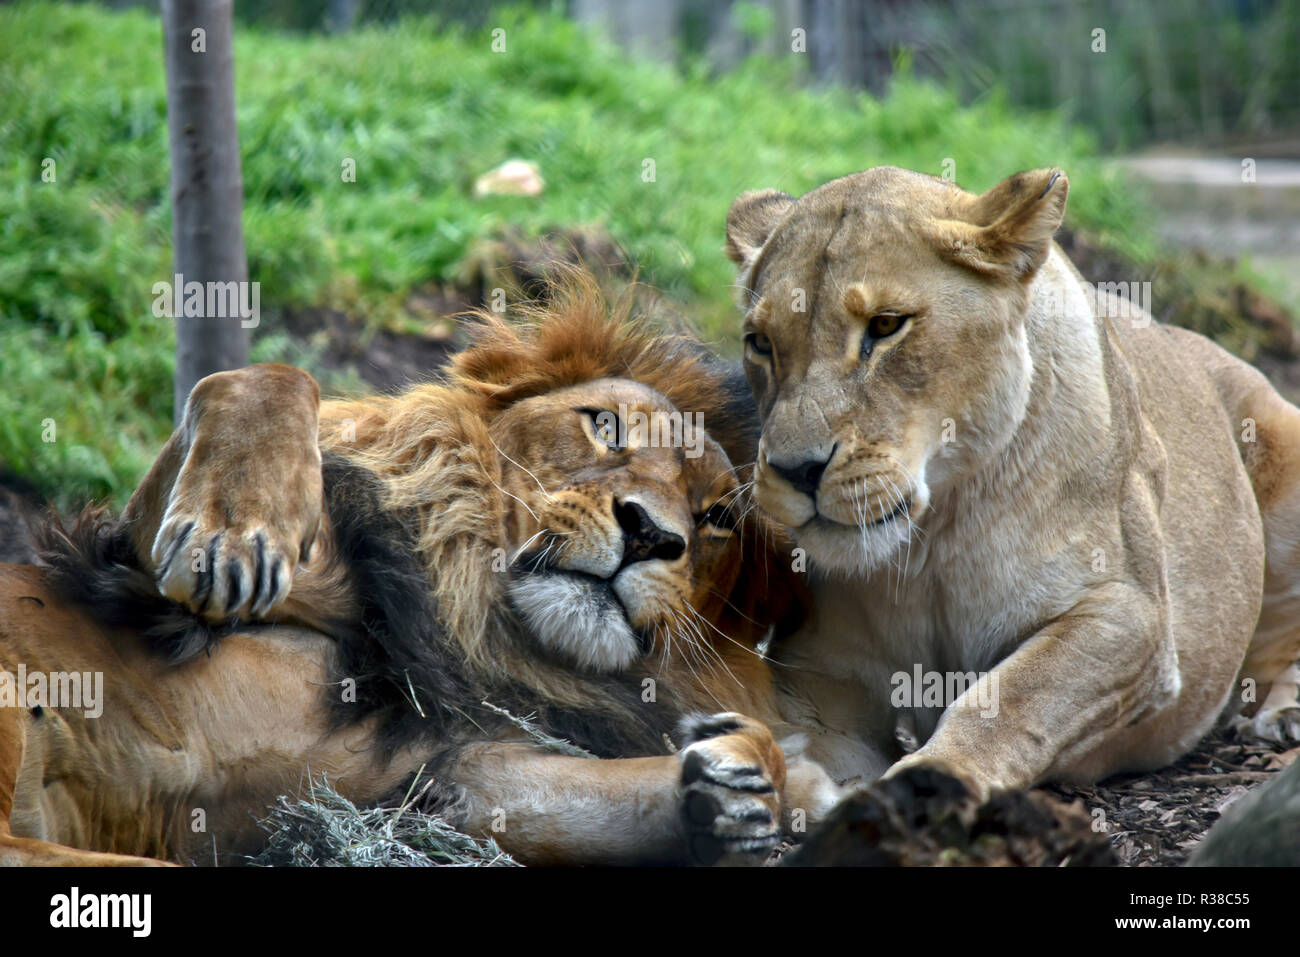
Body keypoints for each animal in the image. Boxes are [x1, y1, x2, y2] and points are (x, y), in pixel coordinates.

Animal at [0, 286, 837, 868]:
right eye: (606, 426)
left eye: (717, 515)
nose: (649, 532)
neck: (481, 626)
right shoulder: (130, 562)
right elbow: (272, 376)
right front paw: (226, 535)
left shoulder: (444, 776)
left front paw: (747, 785)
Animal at [728, 166, 1300, 800]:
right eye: (760, 342)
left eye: (885, 325)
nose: (794, 469)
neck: (934, 537)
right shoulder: (822, 663)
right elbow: (805, 740)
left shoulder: (1130, 613)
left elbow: (1008, 700)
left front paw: (930, 779)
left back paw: (1283, 715)